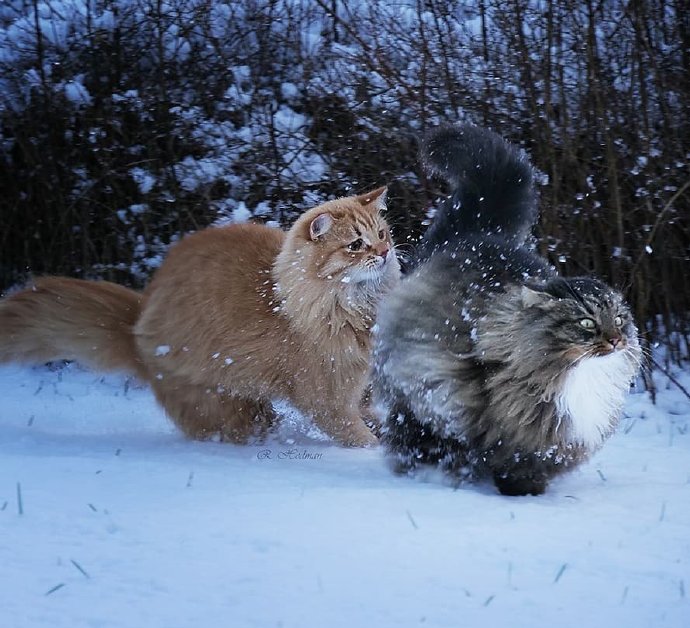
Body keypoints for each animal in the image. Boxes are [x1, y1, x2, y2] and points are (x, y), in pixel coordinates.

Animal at [0, 188, 400, 446]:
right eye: (355, 245)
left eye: (382, 234)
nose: (383, 252)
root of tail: (136, 324)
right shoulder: (329, 401)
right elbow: (358, 436)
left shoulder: (361, 391)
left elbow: (376, 416)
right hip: (226, 406)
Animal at [370, 124, 640, 496]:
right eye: (586, 323)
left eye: (619, 319)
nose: (616, 340)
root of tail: (478, 233)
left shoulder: (545, 446)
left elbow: (527, 468)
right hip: (409, 387)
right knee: (410, 434)